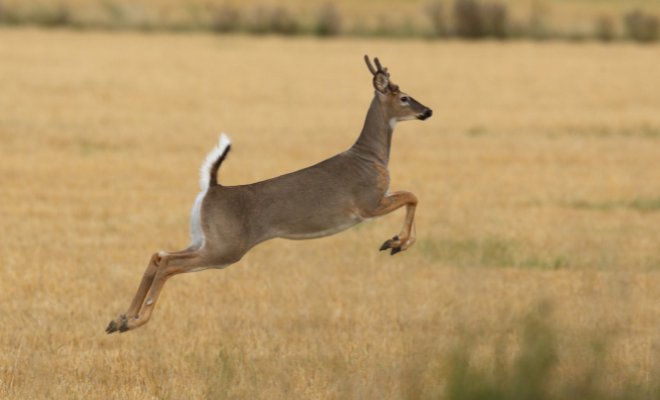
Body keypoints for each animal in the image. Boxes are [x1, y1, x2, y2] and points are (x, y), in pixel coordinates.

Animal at [106, 55, 432, 333]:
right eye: (404, 97)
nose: (427, 110)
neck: (371, 157)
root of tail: (211, 187)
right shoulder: (367, 204)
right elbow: (412, 195)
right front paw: (396, 242)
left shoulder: (373, 203)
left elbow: (412, 196)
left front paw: (397, 243)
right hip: (226, 247)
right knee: (168, 264)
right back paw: (135, 321)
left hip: (204, 238)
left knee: (159, 255)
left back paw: (119, 319)